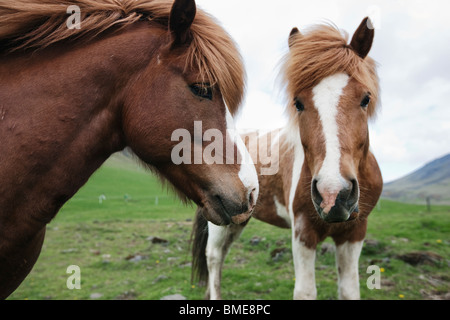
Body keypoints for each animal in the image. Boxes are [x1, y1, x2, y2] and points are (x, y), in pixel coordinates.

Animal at [192, 18, 384, 300]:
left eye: (366, 98)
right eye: (298, 103)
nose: (333, 195)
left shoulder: (354, 234)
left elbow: (349, 290)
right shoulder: (303, 232)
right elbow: (305, 291)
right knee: (214, 257)